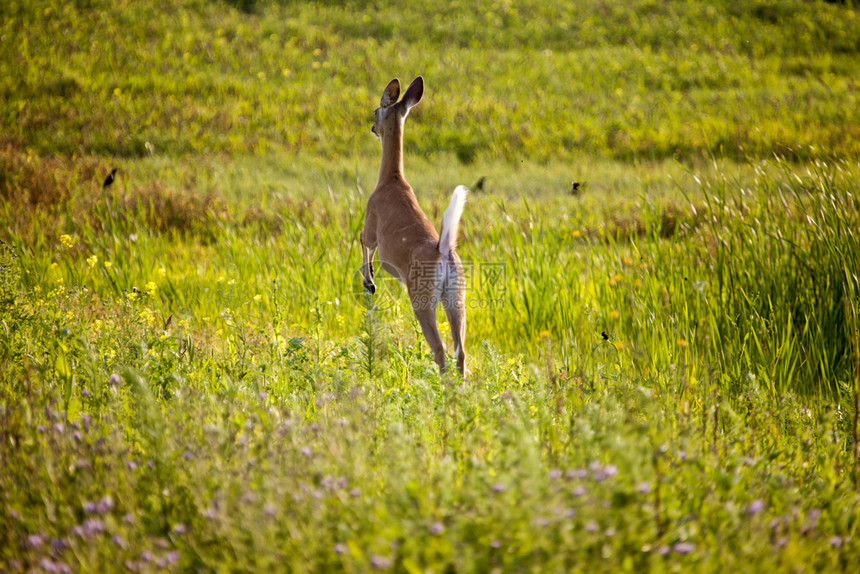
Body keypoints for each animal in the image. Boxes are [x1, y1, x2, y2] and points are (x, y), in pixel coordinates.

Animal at [362, 76, 470, 378]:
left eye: (376, 110)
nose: (371, 127)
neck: (391, 179)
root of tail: (443, 251)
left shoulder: (371, 222)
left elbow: (362, 242)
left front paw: (369, 282)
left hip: (422, 297)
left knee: (441, 349)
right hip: (456, 295)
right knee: (460, 351)